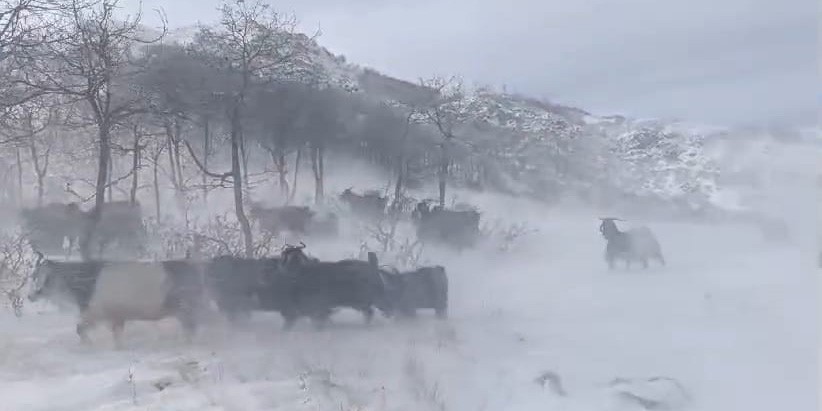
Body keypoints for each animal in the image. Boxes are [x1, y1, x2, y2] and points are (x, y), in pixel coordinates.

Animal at [28, 254, 209, 348]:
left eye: (47, 277)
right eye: (34, 275)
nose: (31, 296)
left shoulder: (95, 313)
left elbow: (79, 329)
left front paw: (89, 345)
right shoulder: (116, 316)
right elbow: (117, 335)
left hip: (186, 308)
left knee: (192, 327)